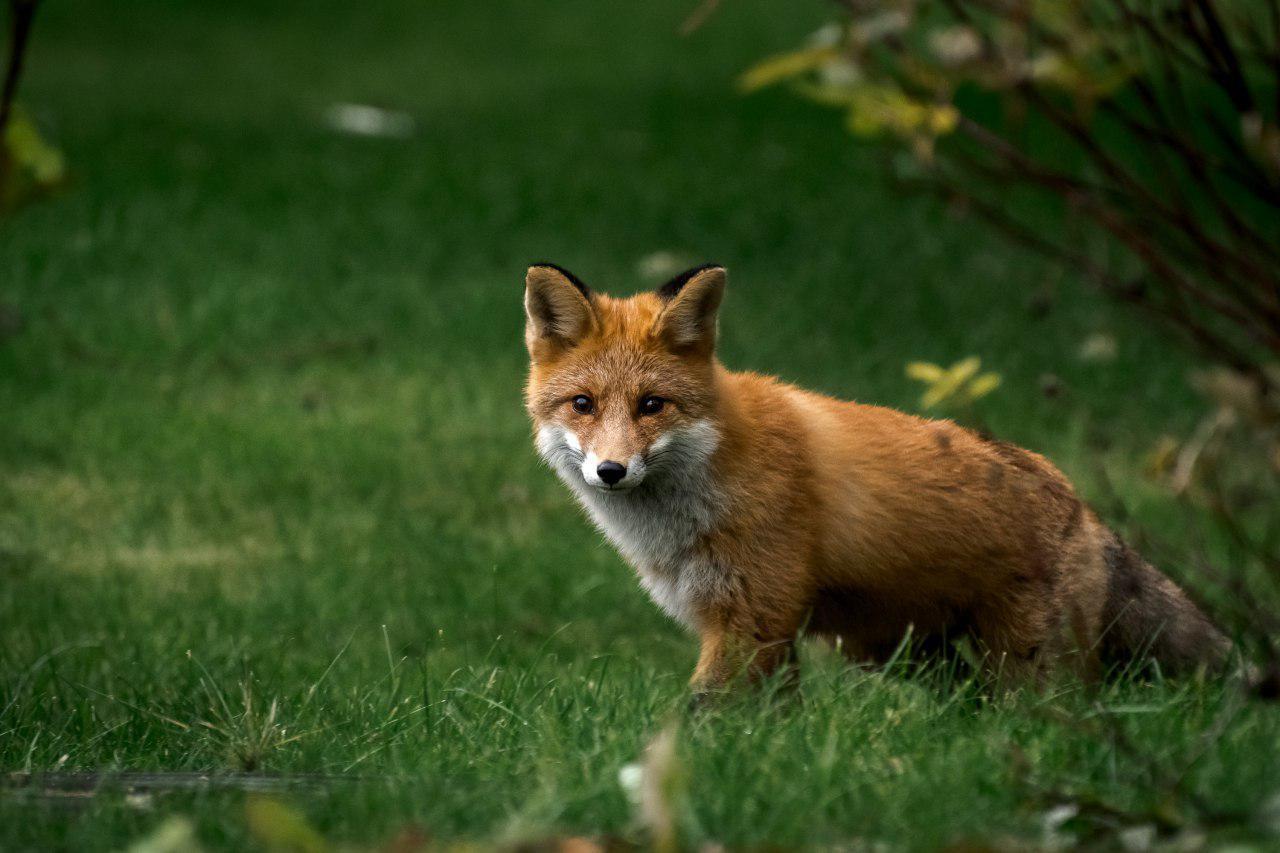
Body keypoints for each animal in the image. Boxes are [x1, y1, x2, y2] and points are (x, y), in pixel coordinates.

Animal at [519, 262, 1228, 696]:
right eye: (583, 404)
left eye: (651, 405)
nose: (611, 471)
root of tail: (1081, 502)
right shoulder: (754, 624)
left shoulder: (753, 617)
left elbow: (697, 721)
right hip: (894, 650)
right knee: (970, 703)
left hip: (1026, 661)